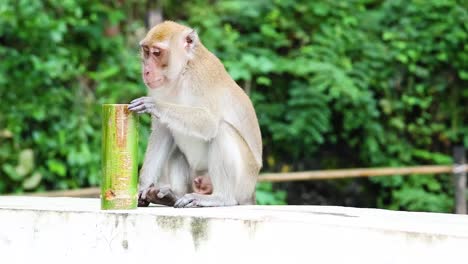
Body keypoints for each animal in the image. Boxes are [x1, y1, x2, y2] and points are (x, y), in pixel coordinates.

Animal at [128, 20, 262, 207]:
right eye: (146, 51)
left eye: (157, 53)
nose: (146, 71)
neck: (181, 73)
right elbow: (162, 130)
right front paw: (142, 188)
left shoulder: (202, 75)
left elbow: (210, 122)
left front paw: (154, 105)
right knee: (177, 152)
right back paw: (172, 196)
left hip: (244, 181)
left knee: (222, 130)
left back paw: (220, 198)